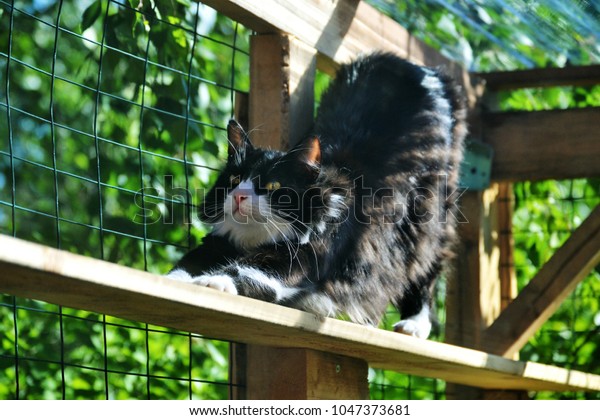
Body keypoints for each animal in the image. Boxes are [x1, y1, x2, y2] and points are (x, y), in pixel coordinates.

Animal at [169, 52, 468, 340]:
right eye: (234, 180)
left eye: (274, 186)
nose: (239, 196)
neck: (255, 239)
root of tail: (423, 68)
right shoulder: (217, 244)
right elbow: (187, 264)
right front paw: (177, 280)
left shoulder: (296, 259)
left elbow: (244, 270)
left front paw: (212, 282)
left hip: (426, 221)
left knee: (426, 272)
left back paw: (414, 325)